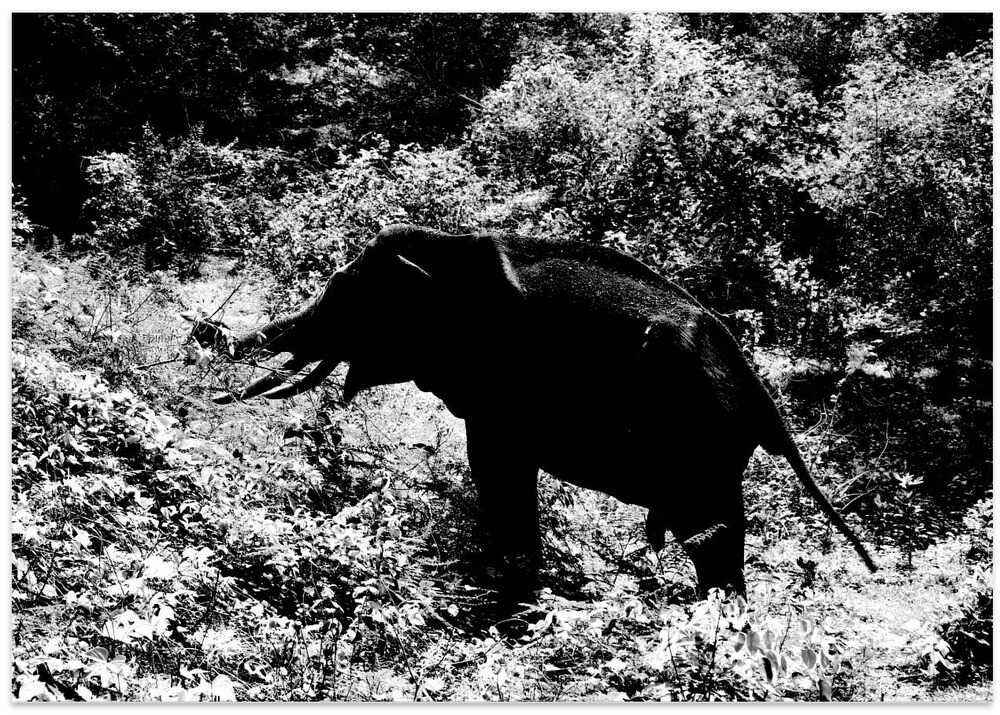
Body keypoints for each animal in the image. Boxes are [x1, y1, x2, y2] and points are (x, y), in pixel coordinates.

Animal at [194, 224, 876, 608]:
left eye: (345, 299)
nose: (205, 332)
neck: (448, 250)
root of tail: (763, 397)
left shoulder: (503, 382)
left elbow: (496, 464)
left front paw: (504, 583)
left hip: (698, 445)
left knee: (712, 537)